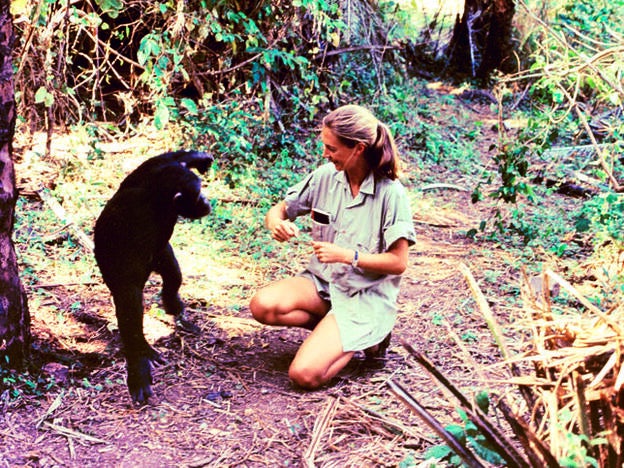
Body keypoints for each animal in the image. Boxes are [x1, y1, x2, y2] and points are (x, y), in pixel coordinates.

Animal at [93, 149, 214, 402]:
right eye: (198, 194)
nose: (206, 200)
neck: (158, 197)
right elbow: (128, 299)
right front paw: (138, 367)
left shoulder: (150, 171)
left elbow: (161, 159)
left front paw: (199, 157)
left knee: (172, 273)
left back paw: (172, 303)